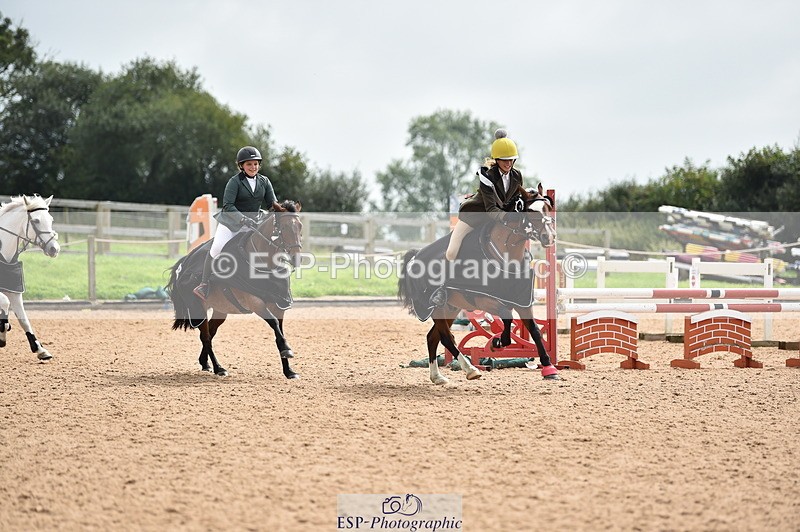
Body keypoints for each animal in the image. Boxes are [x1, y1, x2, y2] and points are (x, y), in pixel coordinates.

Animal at [0, 195, 61, 360]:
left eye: (51, 219)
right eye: (36, 221)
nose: (54, 249)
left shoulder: (14, 291)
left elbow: (24, 320)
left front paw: (40, 349)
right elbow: (5, 303)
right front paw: (2, 334)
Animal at [166, 200, 303, 378]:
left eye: (300, 226)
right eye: (285, 227)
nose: (296, 258)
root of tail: (183, 264)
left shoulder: (279, 305)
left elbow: (279, 329)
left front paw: (289, 370)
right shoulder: (256, 303)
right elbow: (273, 323)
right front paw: (287, 350)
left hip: (220, 309)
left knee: (211, 332)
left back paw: (205, 363)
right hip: (198, 308)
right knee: (206, 337)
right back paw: (219, 368)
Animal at [398, 184, 560, 384]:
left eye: (549, 209)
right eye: (530, 212)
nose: (549, 237)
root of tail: (414, 257)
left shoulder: (522, 301)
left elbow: (535, 331)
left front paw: (549, 367)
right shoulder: (485, 301)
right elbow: (507, 318)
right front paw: (496, 343)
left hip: (450, 308)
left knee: (432, 337)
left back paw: (438, 377)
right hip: (436, 308)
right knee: (446, 337)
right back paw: (471, 369)